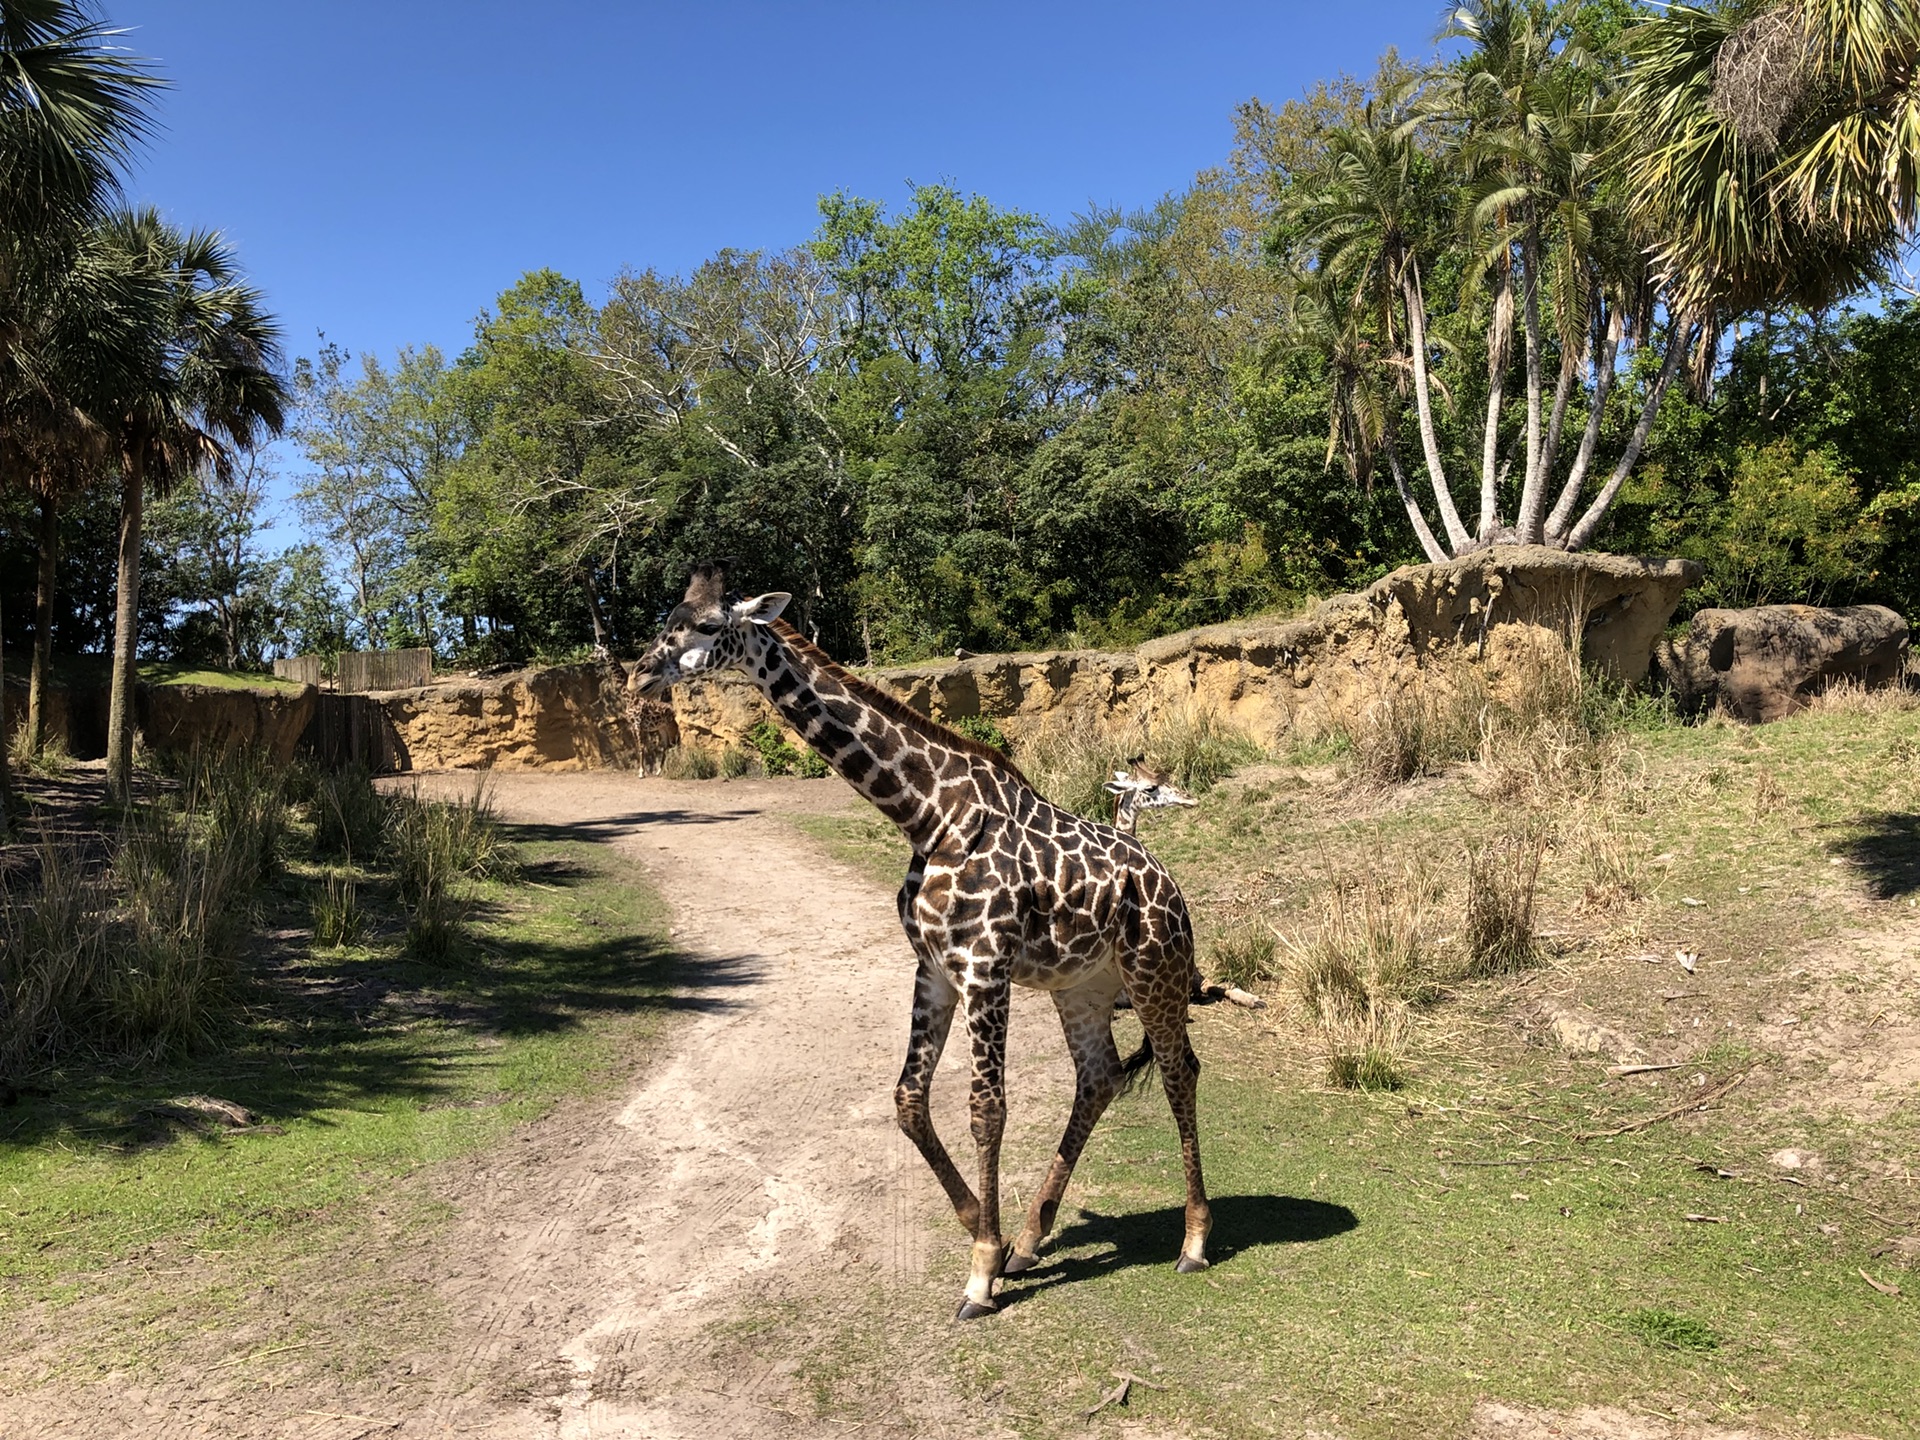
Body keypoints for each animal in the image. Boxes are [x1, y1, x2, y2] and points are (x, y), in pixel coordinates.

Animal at [633, 560, 1213, 1320]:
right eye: (665, 617)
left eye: (705, 624)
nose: (639, 675)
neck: (927, 814)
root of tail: (1170, 883)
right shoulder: (933, 966)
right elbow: (908, 1098)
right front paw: (988, 1237)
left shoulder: (985, 965)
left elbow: (987, 1110)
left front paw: (980, 1275)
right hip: (1082, 986)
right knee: (1100, 1077)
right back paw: (1032, 1237)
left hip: (1155, 971)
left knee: (1178, 1070)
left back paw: (1193, 1242)